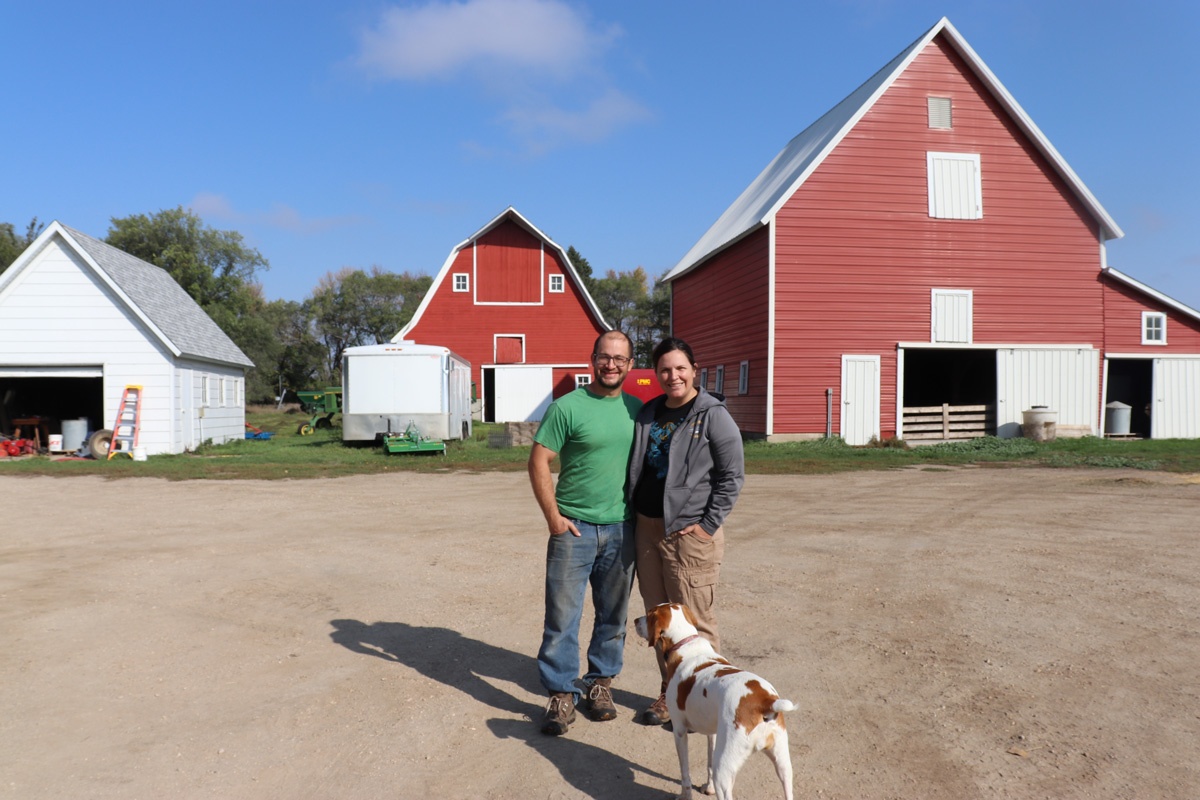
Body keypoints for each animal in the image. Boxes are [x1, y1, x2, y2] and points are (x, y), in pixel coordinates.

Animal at [633, 604, 792, 796]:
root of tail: (765, 701)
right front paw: (708, 788)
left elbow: (685, 774)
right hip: (783, 766)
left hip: (723, 772)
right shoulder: (713, 733)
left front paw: (685, 796)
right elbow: (708, 761)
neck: (686, 643)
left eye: (649, 614)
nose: (634, 620)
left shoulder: (679, 730)